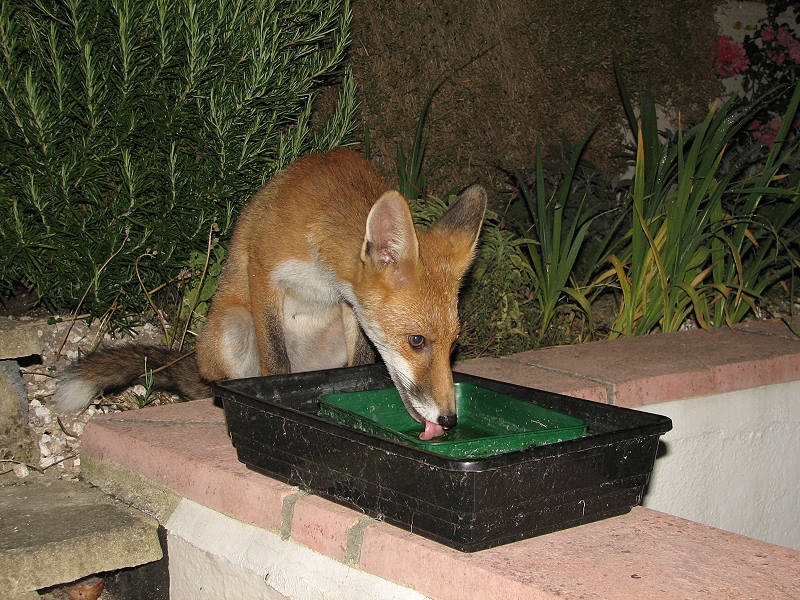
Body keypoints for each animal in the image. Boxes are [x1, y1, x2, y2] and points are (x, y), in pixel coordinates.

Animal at [53, 148, 486, 440]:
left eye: (454, 346)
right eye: (416, 341)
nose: (449, 420)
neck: (322, 265)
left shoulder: (348, 306)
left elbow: (358, 367)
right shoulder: (264, 273)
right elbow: (277, 367)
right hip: (232, 329)